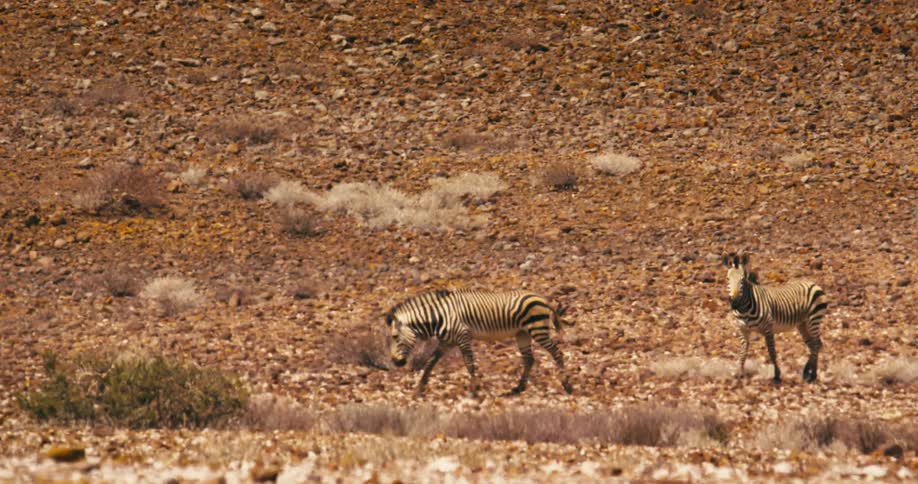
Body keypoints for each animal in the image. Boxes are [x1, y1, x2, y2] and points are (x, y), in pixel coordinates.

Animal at [385, 288, 574, 397]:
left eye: (395, 337)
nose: (395, 362)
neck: (440, 317)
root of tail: (543, 299)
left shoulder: (463, 337)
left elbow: (469, 362)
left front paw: (474, 390)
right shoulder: (446, 343)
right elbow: (430, 362)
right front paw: (419, 390)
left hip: (538, 330)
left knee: (557, 353)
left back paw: (567, 385)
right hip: (522, 334)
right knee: (529, 359)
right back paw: (518, 388)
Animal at [723, 253, 828, 384]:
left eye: (742, 280)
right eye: (728, 279)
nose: (735, 303)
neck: (744, 309)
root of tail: (813, 284)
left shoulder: (768, 328)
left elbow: (772, 352)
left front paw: (777, 376)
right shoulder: (742, 330)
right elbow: (743, 352)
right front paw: (740, 374)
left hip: (814, 318)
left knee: (816, 344)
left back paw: (811, 374)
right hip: (803, 323)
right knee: (813, 344)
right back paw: (809, 373)